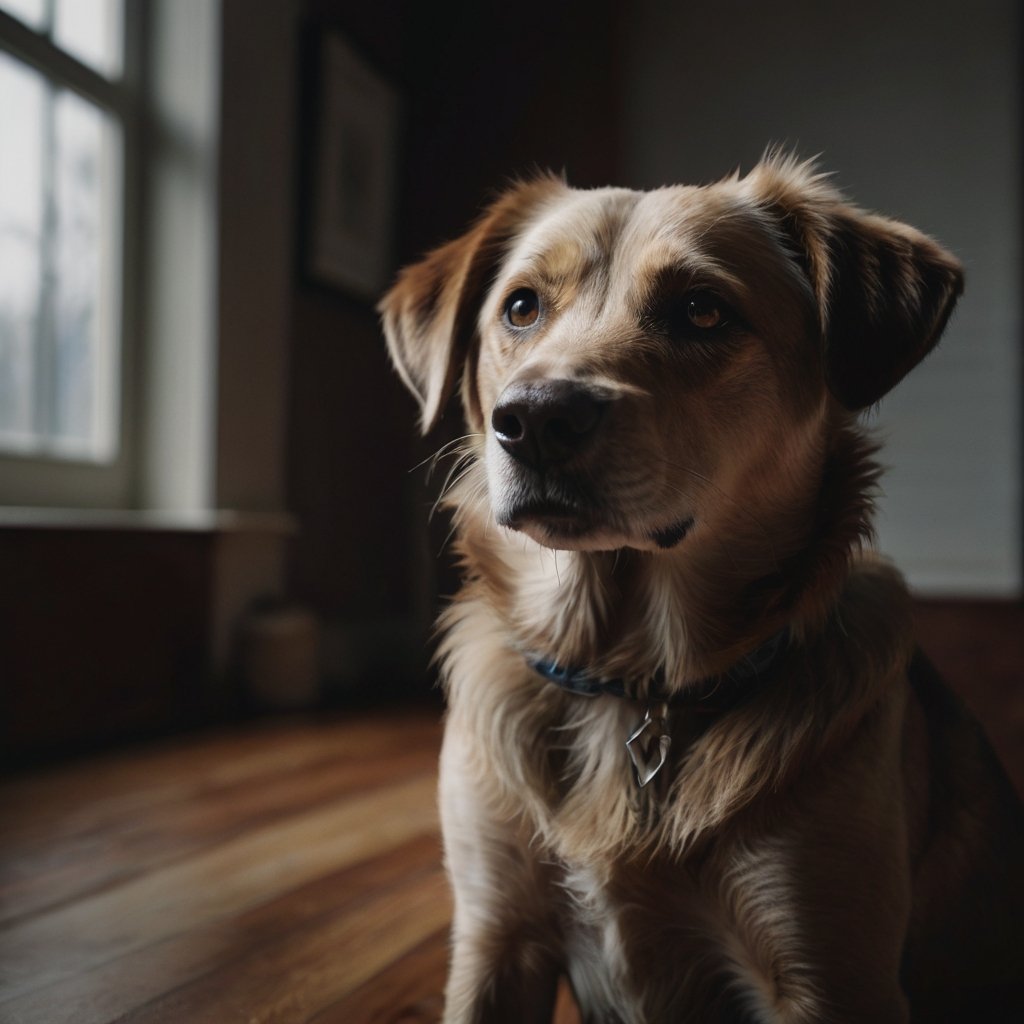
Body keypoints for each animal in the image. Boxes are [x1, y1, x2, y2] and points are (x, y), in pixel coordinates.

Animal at [378, 153, 1024, 1024]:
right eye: (521, 307)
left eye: (702, 311)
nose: (536, 420)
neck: (630, 683)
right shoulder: (493, 938)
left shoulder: (830, 974)